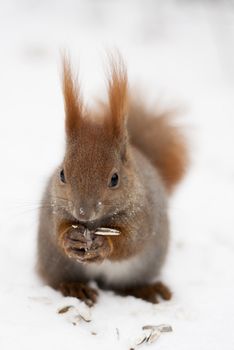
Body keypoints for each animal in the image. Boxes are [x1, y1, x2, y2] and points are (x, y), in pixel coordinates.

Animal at [37, 53, 189, 304]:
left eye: (115, 179)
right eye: (62, 174)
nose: (82, 213)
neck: (93, 224)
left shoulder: (143, 215)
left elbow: (130, 242)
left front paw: (104, 245)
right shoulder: (53, 206)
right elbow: (57, 228)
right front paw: (69, 238)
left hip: (142, 267)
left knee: (126, 286)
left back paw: (146, 289)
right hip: (56, 262)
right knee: (58, 280)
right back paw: (74, 287)